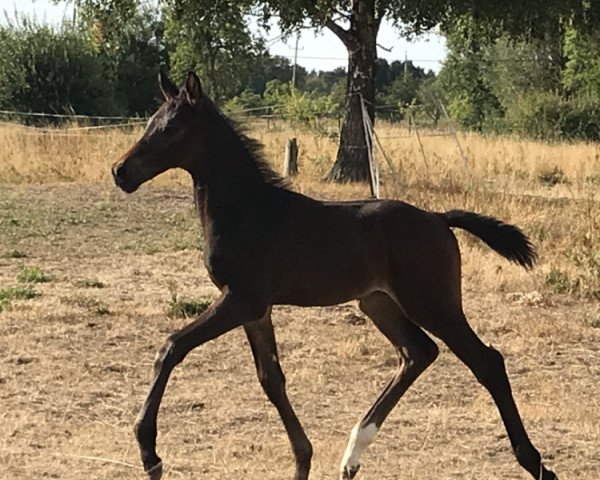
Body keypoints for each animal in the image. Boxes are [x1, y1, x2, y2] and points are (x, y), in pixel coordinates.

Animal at [111, 71, 556, 480]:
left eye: (170, 128)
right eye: (151, 121)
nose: (120, 171)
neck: (247, 211)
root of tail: (438, 218)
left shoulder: (241, 299)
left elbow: (172, 346)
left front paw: (150, 454)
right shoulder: (256, 310)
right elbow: (271, 379)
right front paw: (303, 461)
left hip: (433, 303)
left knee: (486, 361)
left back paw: (535, 464)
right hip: (378, 302)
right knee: (418, 352)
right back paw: (351, 456)